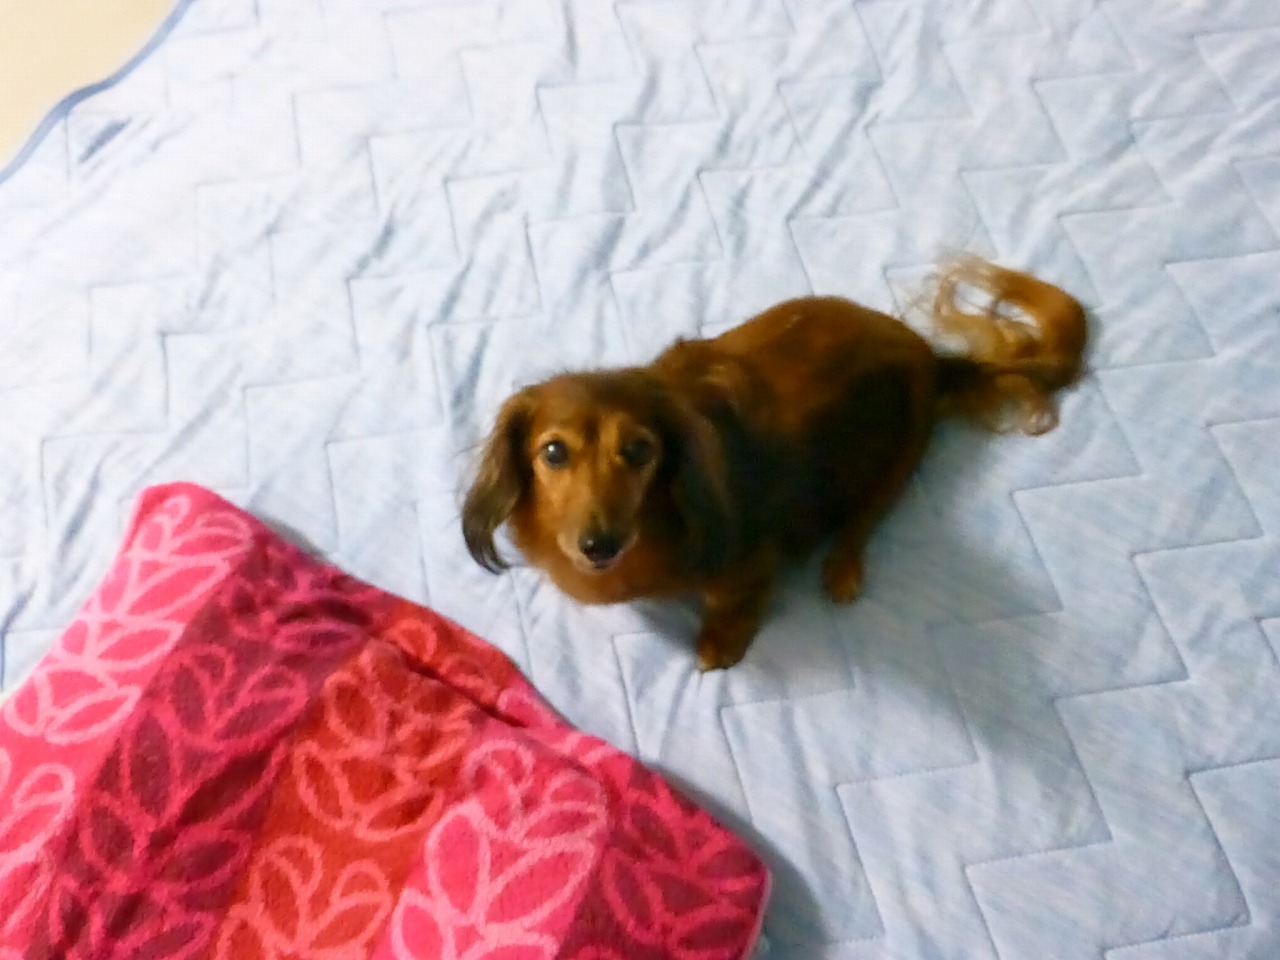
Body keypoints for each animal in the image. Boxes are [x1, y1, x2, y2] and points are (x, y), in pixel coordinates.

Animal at [461, 257, 1087, 670]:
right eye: (553, 451)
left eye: (639, 450)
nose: (598, 546)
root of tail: (929, 357)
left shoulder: (749, 561)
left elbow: (733, 600)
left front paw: (720, 643)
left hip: (903, 454)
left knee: (865, 520)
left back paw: (842, 568)